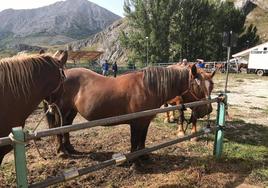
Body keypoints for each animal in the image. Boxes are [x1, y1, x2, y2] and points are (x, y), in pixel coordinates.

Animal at [44, 64, 216, 159]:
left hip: (71, 111)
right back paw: (61, 151)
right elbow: (134, 140)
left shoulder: (145, 121)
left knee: (66, 127)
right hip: (61, 111)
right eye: (198, 86)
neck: (148, 87)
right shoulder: (136, 122)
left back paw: (69, 148)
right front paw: (134, 158)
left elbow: (142, 139)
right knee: (58, 128)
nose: (207, 109)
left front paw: (144, 155)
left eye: (212, 85)